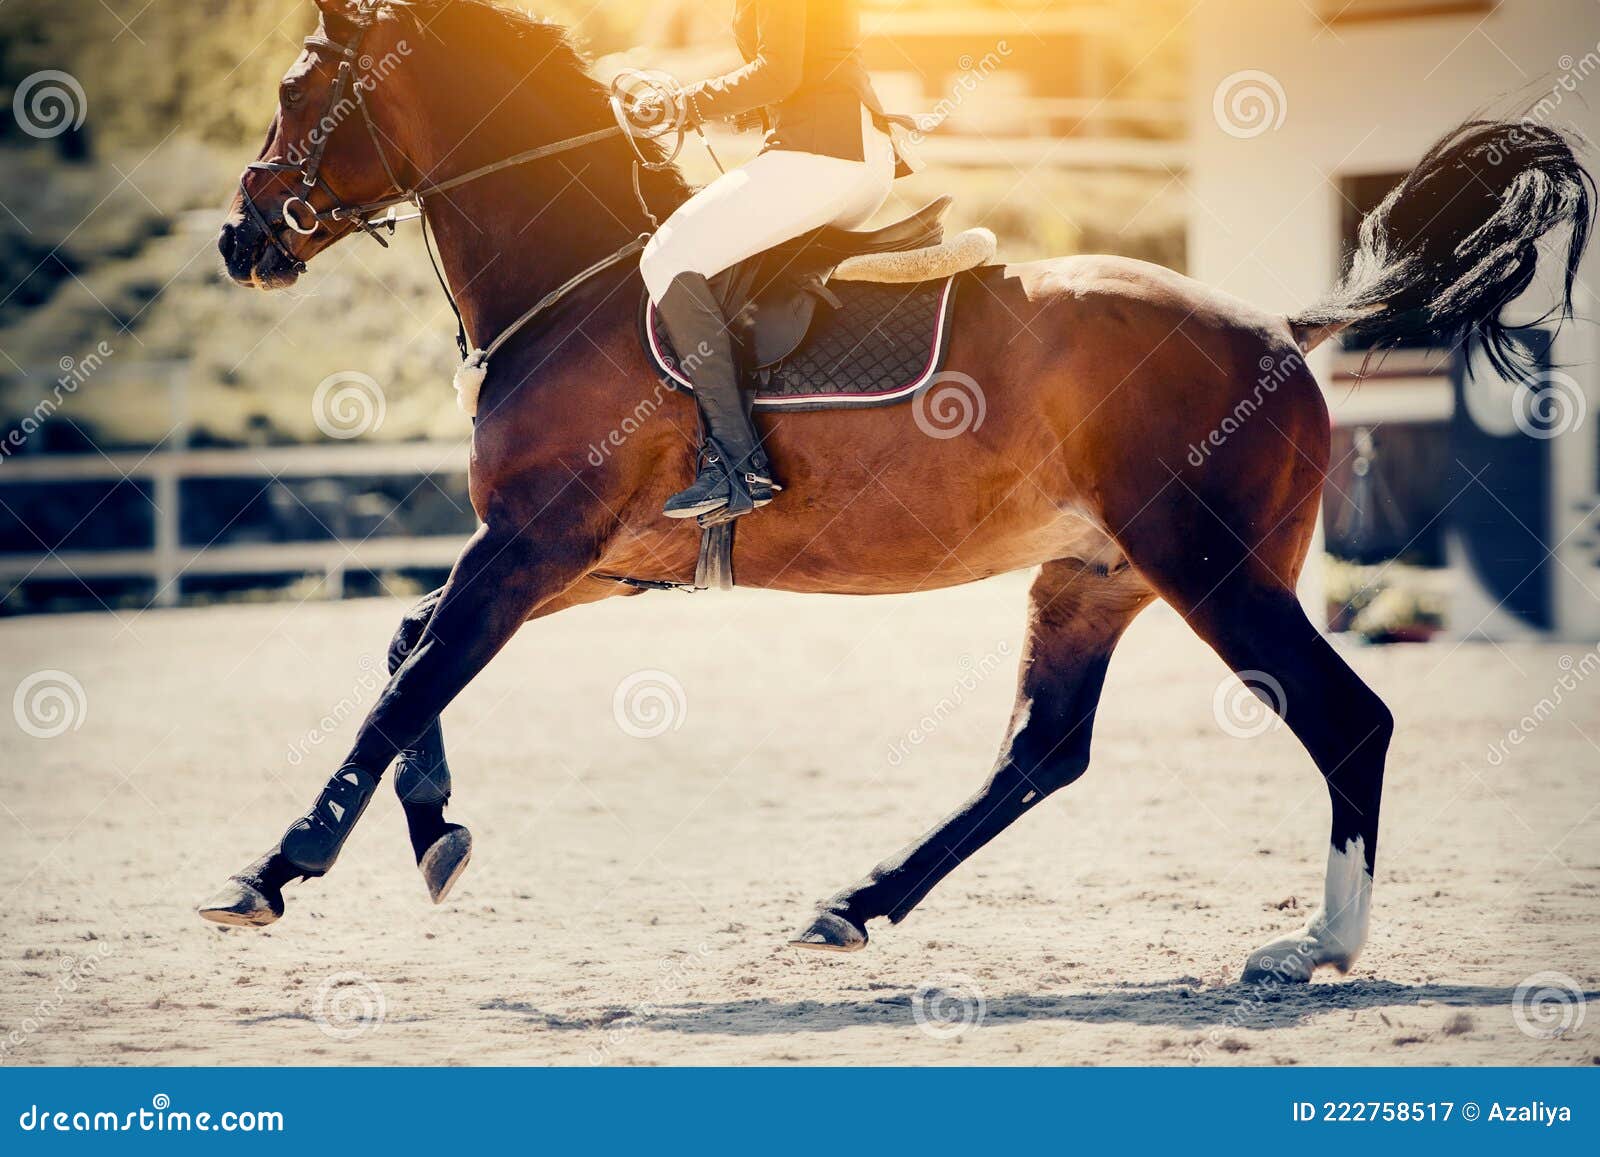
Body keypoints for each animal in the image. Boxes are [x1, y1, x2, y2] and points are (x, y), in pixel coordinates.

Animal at [200, 0, 1587, 985]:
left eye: (296, 91)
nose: (239, 239)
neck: (576, 273)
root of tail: (1279, 328)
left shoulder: (535, 541)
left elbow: (407, 680)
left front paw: (275, 867)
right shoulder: (586, 559)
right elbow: (405, 649)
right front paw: (433, 831)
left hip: (1213, 571)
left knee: (1345, 717)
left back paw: (1315, 947)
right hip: (1091, 577)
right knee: (1043, 749)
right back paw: (853, 906)